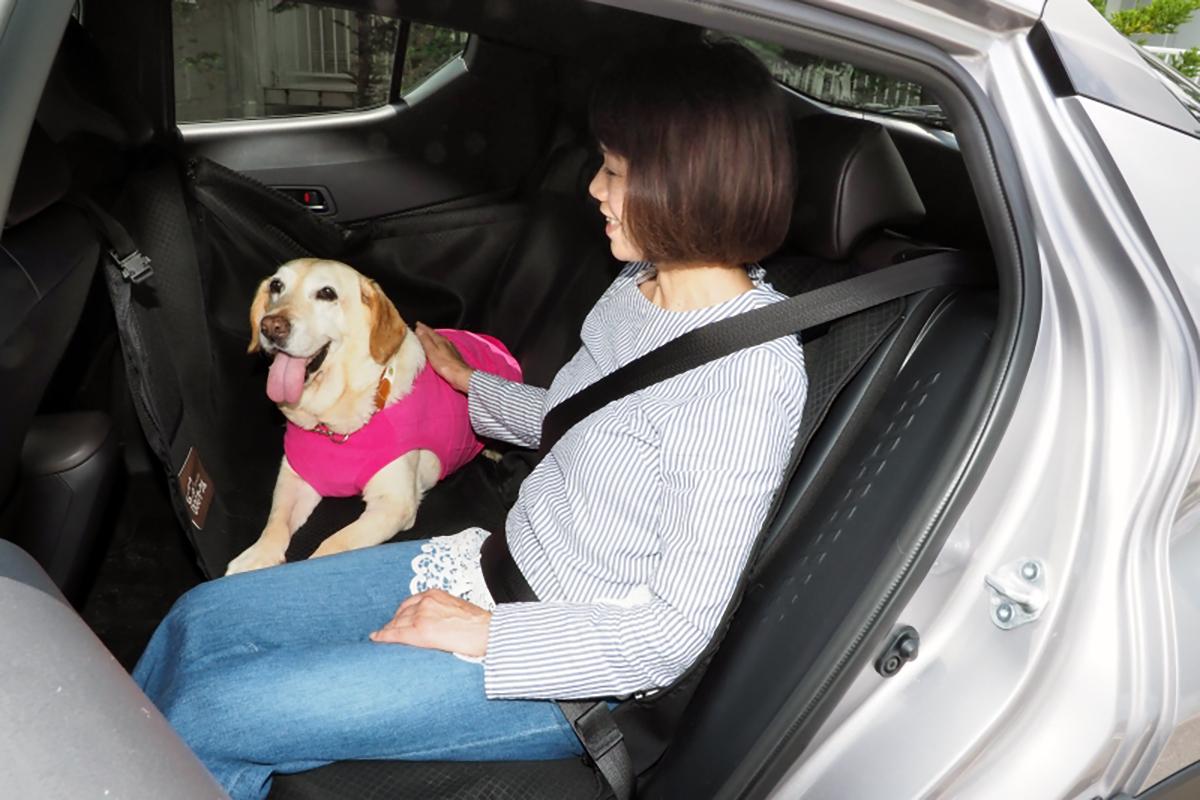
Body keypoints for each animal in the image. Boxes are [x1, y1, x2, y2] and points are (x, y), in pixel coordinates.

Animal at [226, 257, 523, 575]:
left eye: (327, 293)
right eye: (276, 285)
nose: (271, 326)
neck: (333, 422)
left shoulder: (393, 503)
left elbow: (332, 546)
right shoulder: (294, 477)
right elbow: (276, 523)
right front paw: (255, 557)